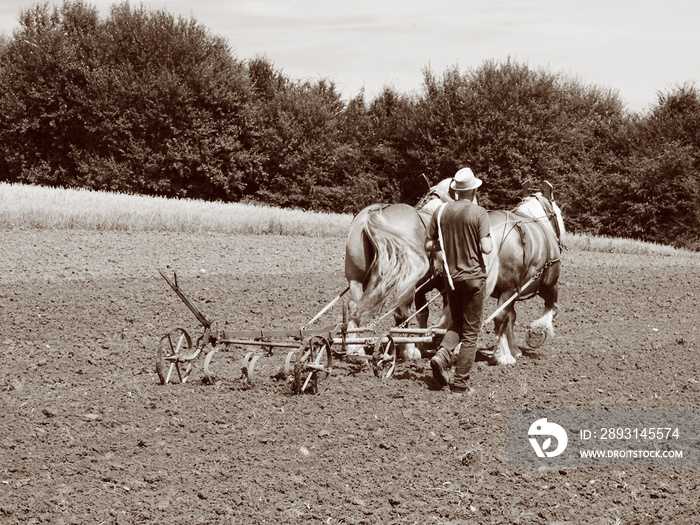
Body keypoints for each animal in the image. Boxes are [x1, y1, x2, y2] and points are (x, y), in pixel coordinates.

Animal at [484, 180, 568, 364]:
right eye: (558, 213)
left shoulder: (514, 293)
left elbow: (511, 317)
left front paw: (515, 349)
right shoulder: (549, 286)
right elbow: (553, 308)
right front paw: (537, 331)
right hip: (510, 288)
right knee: (499, 317)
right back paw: (502, 356)